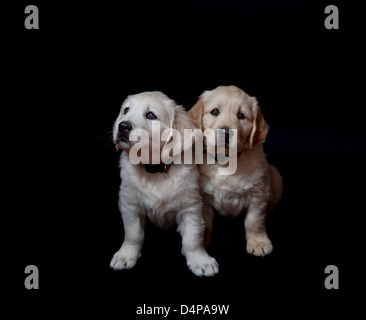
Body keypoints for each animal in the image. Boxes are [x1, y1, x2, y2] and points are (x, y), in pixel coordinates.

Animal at [108, 91, 217, 276]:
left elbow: (193, 237)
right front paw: (126, 255)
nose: (122, 126)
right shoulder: (129, 204)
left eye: (150, 115)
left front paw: (200, 260)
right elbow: (133, 233)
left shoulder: (191, 207)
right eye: (126, 110)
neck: (155, 169)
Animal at [189, 86, 284, 256]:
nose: (226, 132)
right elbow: (206, 224)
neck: (227, 161)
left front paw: (259, 242)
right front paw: (203, 244)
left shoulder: (259, 193)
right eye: (215, 111)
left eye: (241, 115)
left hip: (275, 175)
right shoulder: (204, 197)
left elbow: (254, 221)